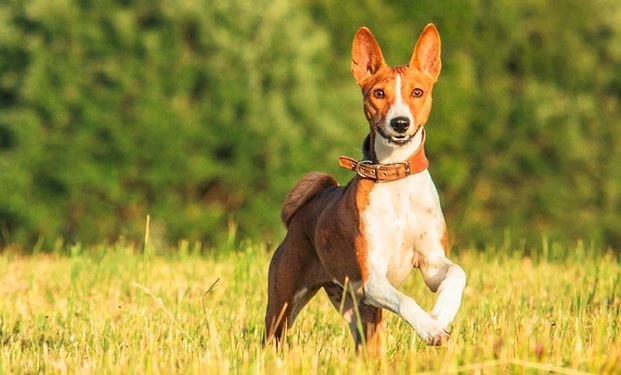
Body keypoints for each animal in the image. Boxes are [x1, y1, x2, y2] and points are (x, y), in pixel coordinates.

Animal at [262, 23, 464, 352]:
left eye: (417, 92)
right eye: (379, 93)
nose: (400, 123)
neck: (396, 178)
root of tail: (301, 214)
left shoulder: (432, 263)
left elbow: (457, 274)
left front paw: (441, 314)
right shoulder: (373, 278)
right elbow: (406, 300)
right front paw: (429, 328)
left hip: (356, 310)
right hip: (284, 304)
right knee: (271, 337)